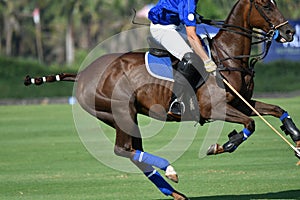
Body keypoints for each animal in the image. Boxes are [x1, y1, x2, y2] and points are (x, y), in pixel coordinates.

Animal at [25, 0, 298, 199]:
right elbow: (250, 125)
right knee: (123, 149)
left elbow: (276, 109)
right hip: (122, 112)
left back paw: (174, 192)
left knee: (132, 151)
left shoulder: (241, 103)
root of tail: (82, 74)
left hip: (121, 117)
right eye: (265, 5)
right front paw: (223, 145)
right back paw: (170, 170)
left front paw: (295, 140)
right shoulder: (213, 108)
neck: (227, 57)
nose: (289, 31)